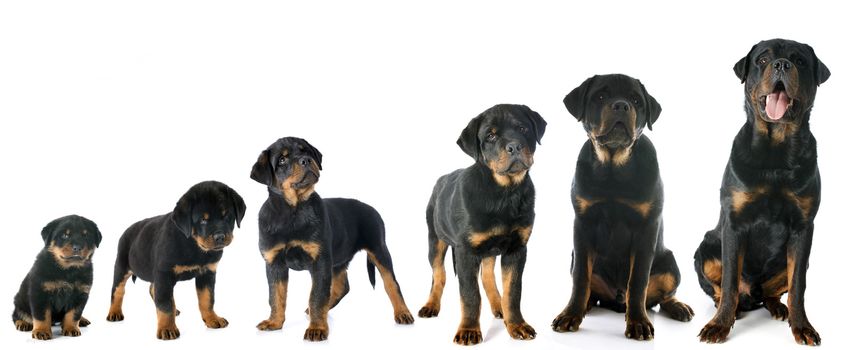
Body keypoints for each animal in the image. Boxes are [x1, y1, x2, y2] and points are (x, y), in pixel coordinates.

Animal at [105, 182, 246, 340]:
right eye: (203, 220)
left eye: (226, 216)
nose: (220, 237)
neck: (193, 244)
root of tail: (125, 231)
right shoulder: (164, 273)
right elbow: (165, 304)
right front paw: (167, 328)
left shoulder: (207, 273)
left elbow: (207, 299)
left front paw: (212, 318)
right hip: (121, 265)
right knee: (117, 290)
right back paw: (114, 313)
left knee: (152, 288)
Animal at [251, 137, 414, 342]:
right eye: (282, 160)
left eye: (306, 151)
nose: (306, 160)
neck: (292, 211)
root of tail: (371, 209)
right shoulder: (274, 262)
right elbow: (276, 296)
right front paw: (274, 322)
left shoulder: (320, 260)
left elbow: (317, 296)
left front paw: (317, 329)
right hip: (338, 259)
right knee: (341, 287)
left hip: (378, 248)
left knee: (391, 283)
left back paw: (403, 313)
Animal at [418, 103, 544, 344]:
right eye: (491, 136)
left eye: (523, 128)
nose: (514, 146)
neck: (505, 193)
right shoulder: (466, 251)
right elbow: (470, 295)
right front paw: (468, 331)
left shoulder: (517, 248)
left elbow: (513, 291)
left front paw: (517, 325)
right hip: (435, 238)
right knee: (438, 275)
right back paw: (430, 306)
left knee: (487, 277)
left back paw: (499, 306)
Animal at [548, 74, 696, 340]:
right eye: (600, 96)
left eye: (636, 101)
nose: (621, 105)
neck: (613, 168)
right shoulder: (583, 225)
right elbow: (580, 279)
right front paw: (570, 314)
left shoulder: (646, 228)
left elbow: (638, 281)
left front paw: (638, 322)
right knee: (590, 289)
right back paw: (585, 306)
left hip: (670, 264)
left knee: (661, 296)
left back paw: (678, 307)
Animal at [696, 38, 828, 344]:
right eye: (763, 60)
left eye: (800, 61)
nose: (781, 64)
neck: (776, 151)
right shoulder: (734, 225)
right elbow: (729, 281)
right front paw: (719, 324)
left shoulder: (803, 228)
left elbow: (798, 287)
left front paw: (802, 326)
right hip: (706, 248)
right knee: (723, 288)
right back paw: (732, 309)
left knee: (775, 291)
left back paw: (778, 307)